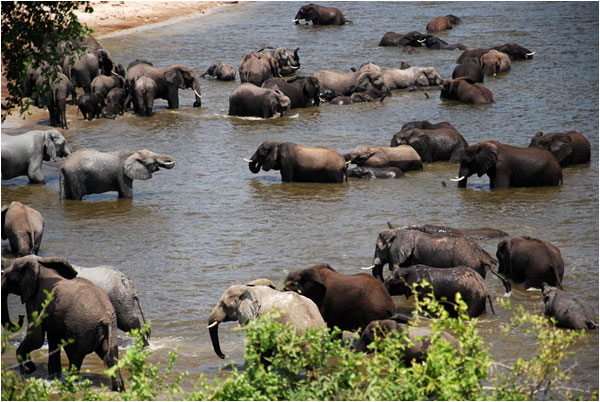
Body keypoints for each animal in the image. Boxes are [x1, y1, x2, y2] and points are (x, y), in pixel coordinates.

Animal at [0, 256, 124, 392]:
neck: (41, 265)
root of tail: (105, 317)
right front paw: (51, 376)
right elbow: (51, 338)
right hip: (108, 330)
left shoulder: (35, 301)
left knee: (74, 356)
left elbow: (36, 338)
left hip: (81, 329)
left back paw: (67, 385)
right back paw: (118, 389)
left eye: (8, 275)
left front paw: (27, 369)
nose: (20, 316)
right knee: (111, 356)